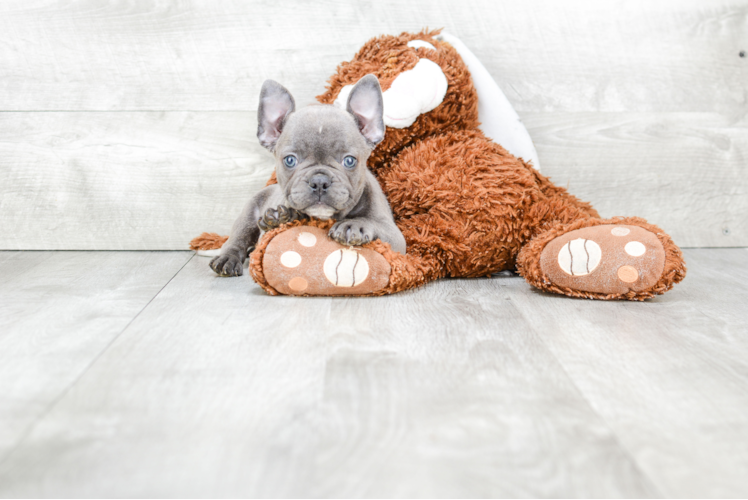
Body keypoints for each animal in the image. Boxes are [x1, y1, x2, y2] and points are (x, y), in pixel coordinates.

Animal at [210, 74, 406, 278]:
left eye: (350, 161)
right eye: (290, 160)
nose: (319, 181)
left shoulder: (395, 236)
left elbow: (371, 222)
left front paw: (352, 225)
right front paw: (281, 218)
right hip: (248, 214)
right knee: (237, 238)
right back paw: (228, 258)